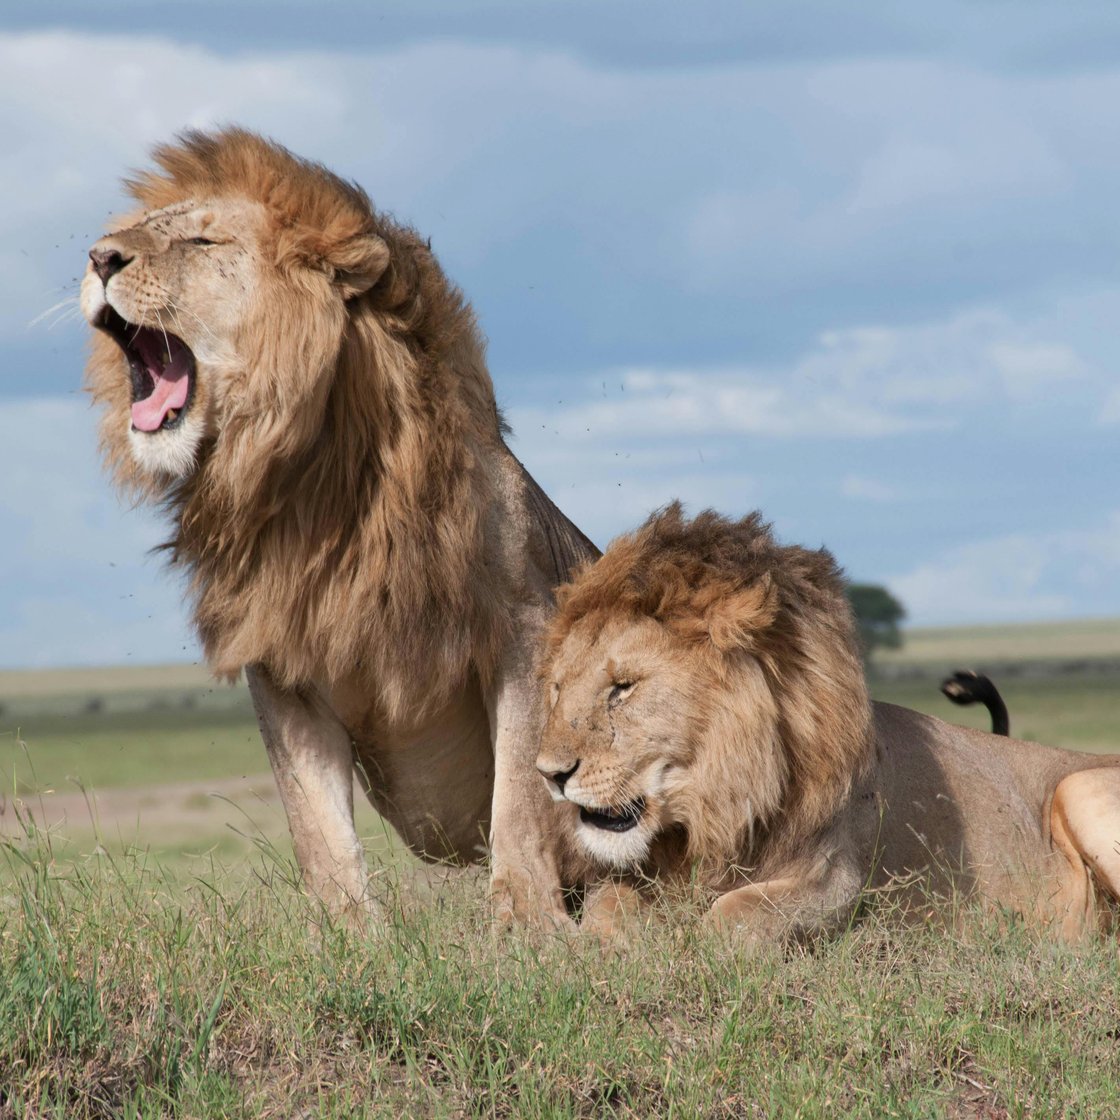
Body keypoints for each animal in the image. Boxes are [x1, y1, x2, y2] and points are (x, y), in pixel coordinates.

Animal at [81, 128, 598, 926]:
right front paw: (351, 936)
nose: (99, 257)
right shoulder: (281, 661)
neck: (311, 486)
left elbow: (519, 798)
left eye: (201, 240)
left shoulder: (523, 627)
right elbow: (316, 826)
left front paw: (527, 926)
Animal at [536, 503, 1120, 943]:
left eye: (623, 687)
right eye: (559, 688)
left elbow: (732, 914)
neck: (717, 806)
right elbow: (609, 905)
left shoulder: (836, 880)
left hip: (1077, 787)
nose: (548, 774)